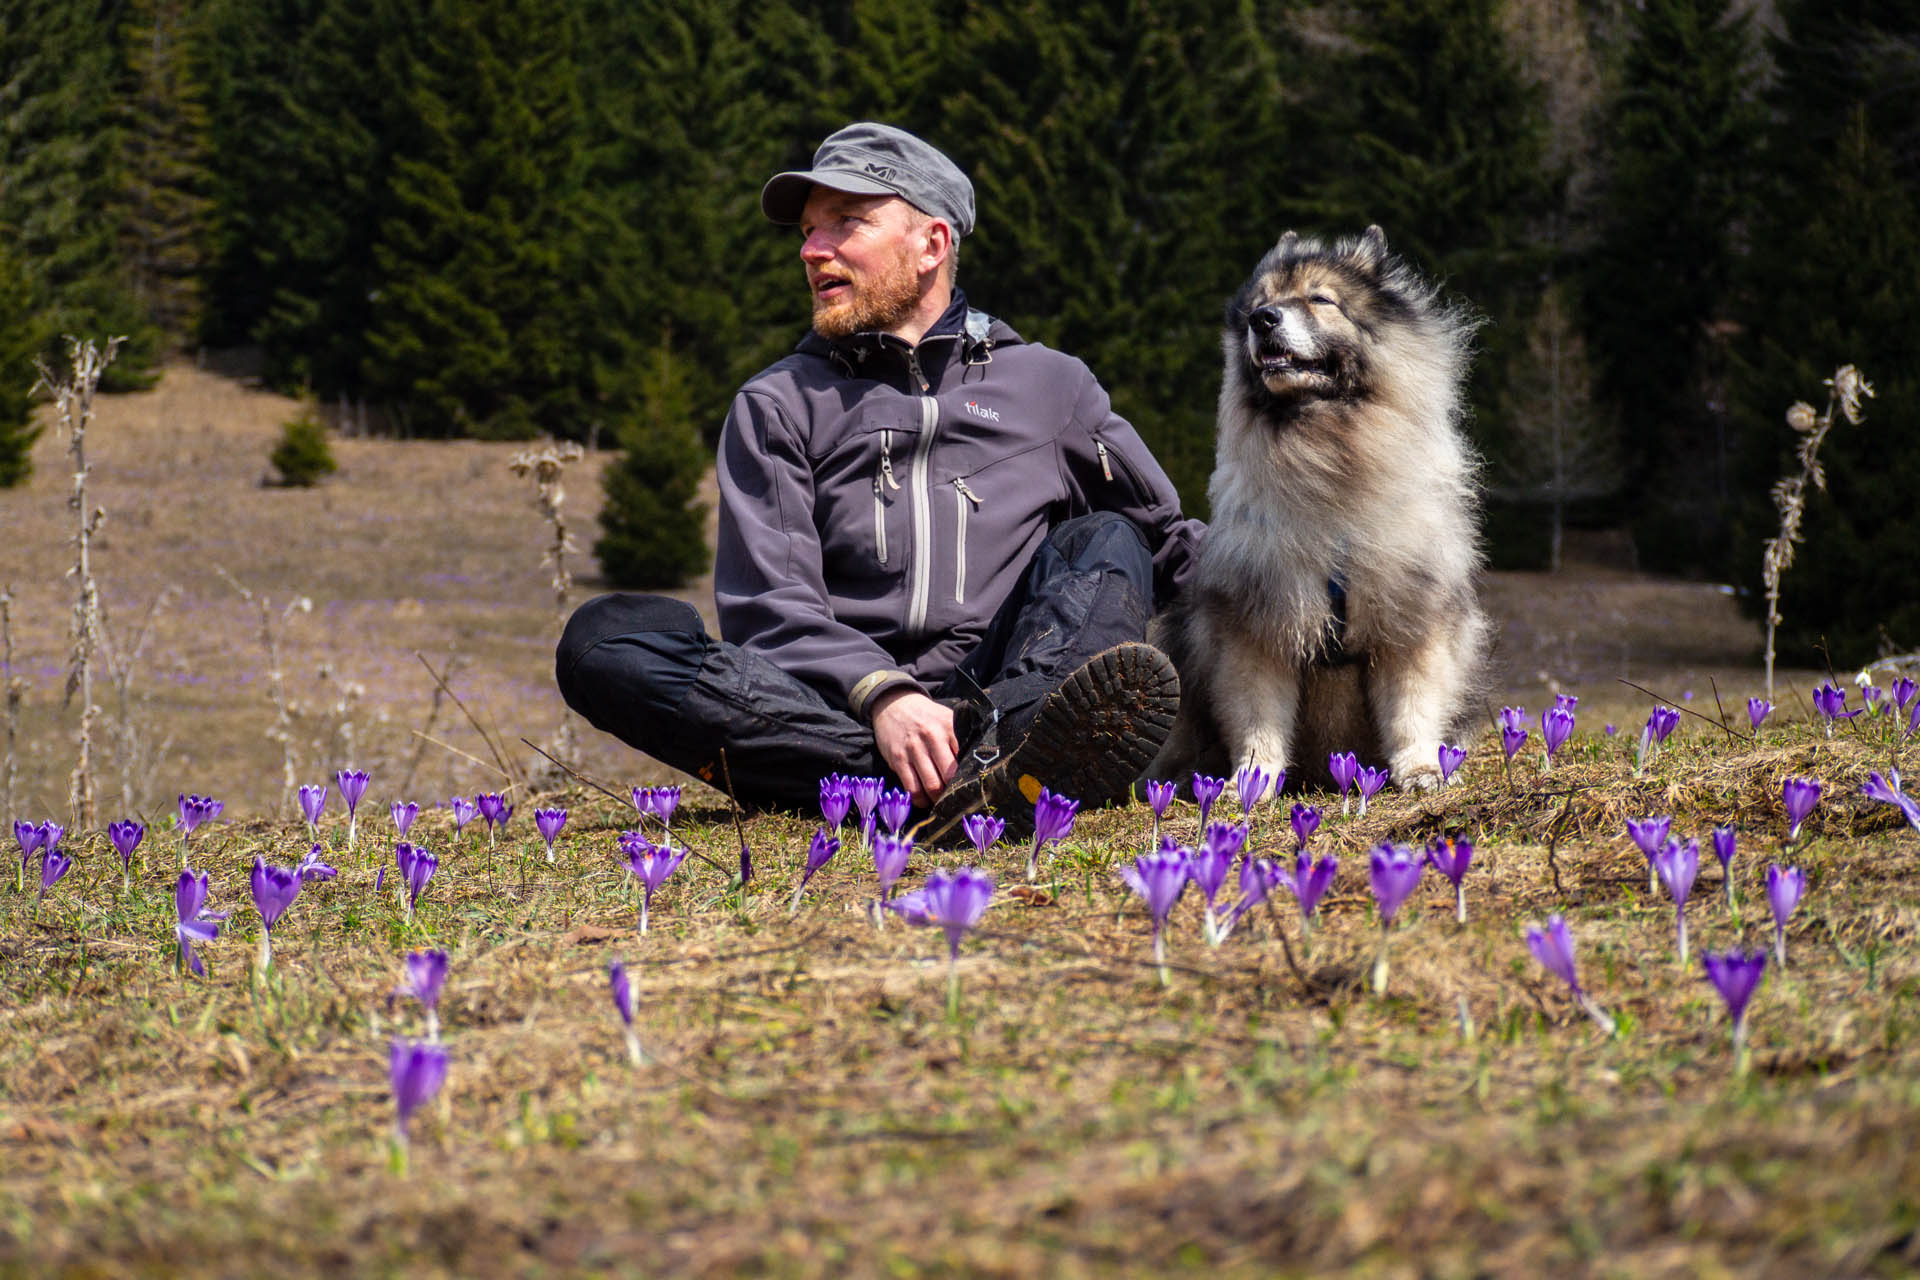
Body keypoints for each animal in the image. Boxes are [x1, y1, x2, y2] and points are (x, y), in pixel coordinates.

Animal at [1144, 227, 1489, 790]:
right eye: (1258, 306)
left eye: (1320, 299)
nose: (1264, 320)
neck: (1326, 456)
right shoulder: (1258, 624)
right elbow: (1257, 715)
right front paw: (1252, 781)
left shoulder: (1409, 617)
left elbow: (1412, 708)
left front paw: (1420, 769)